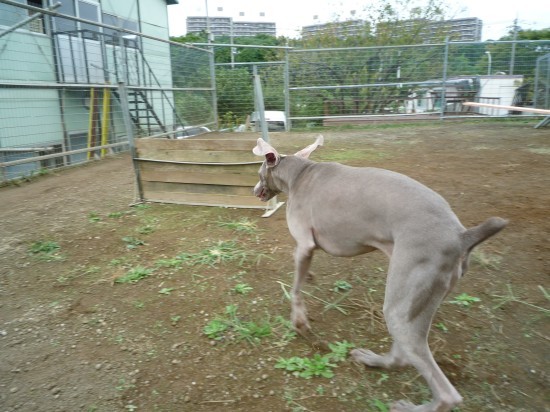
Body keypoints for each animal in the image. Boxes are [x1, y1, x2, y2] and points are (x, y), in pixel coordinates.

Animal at [254, 136, 508, 412]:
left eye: (258, 173)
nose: (254, 191)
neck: (299, 174)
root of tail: (462, 236)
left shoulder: (304, 244)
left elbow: (296, 289)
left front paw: (300, 323)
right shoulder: (308, 249)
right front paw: (310, 280)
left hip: (403, 296)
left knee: (446, 393)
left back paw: (410, 406)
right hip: (416, 300)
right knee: (402, 355)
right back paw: (372, 360)